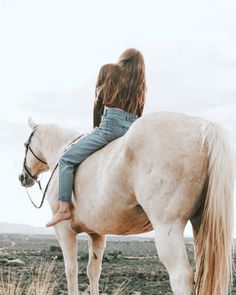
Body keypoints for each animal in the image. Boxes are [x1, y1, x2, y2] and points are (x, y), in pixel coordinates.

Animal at [18, 112, 234, 294]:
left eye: (25, 144)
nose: (22, 177)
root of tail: (204, 129)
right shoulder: (97, 234)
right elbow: (93, 271)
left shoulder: (64, 231)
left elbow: (71, 270)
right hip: (200, 227)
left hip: (168, 229)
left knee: (181, 276)